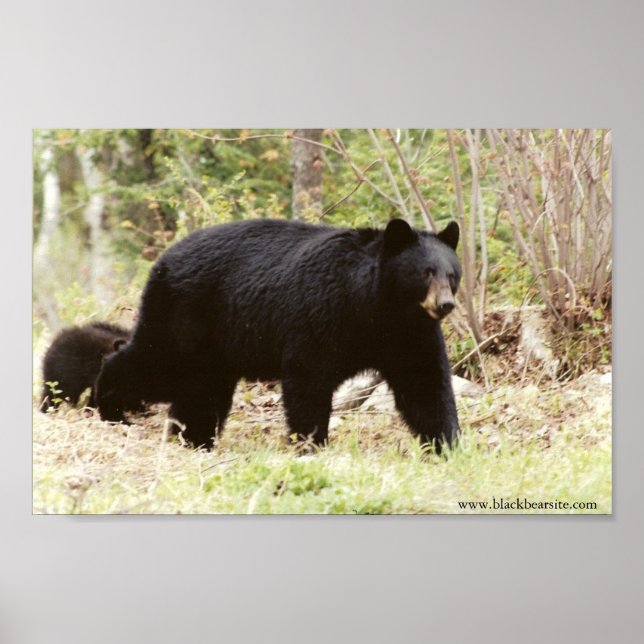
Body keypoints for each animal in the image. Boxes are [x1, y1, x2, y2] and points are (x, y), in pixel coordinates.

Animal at [96, 217, 461, 453]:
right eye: (426, 272)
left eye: (452, 274)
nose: (445, 304)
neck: (379, 308)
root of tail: (163, 259)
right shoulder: (322, 314)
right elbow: (308, 379)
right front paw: (310, 443)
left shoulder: (408, 334)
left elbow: (425, 383)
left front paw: (447, 445)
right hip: (186, 315)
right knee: (156, 361)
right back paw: (109, 406)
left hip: (214, 343)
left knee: (201, 388)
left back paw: (193, 440)